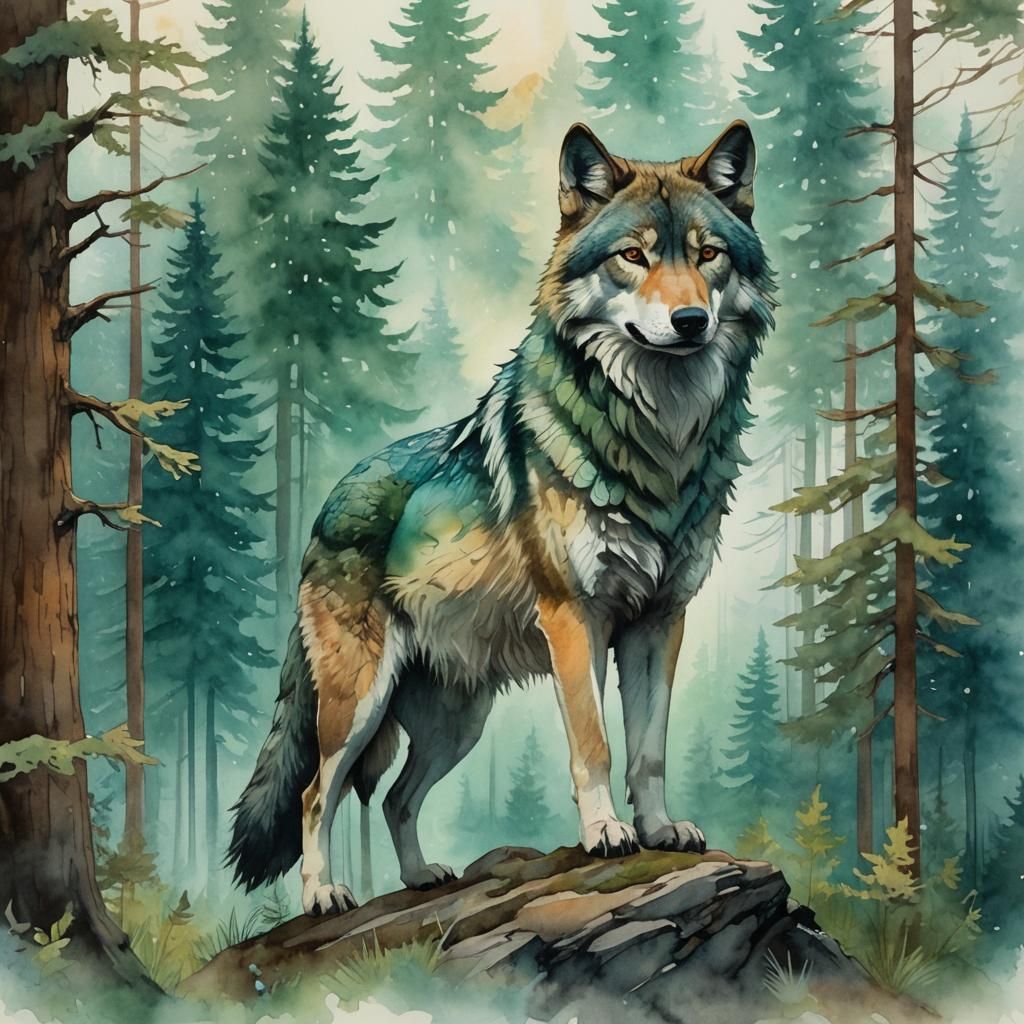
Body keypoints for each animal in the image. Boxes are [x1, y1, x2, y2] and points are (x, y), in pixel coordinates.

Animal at [228, 120, 775, 916]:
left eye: (709, 256)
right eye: (633, 255)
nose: (690, 320)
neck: (659, 440)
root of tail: (328, 503)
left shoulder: (659, 621)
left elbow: (649, 750)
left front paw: (659, 830)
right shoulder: (575, 618)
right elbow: (595, 744)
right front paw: (607, 833)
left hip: (458, 721)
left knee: (393, 798)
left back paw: (422, 878)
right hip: (357, 706)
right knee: (314, 794)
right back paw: (325, 894)